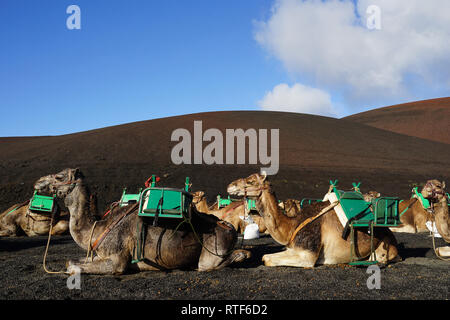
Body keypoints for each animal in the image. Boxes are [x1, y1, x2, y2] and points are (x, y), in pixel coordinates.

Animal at [33, 168, 250, 276]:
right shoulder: (100, 254)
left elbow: (73, 268)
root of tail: (229, 227)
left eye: (59, 176)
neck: (97, 228)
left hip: (213, 249)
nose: (38, 182)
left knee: (212, 263)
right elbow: (71, 261)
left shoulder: (117, 260)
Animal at [227, 172, 400, 268]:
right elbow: (265, 257)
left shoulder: (307, 256)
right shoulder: (293, 248)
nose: (230, 185)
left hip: (383, 247)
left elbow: (267, 259)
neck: (292, 226)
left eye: (250, 181)